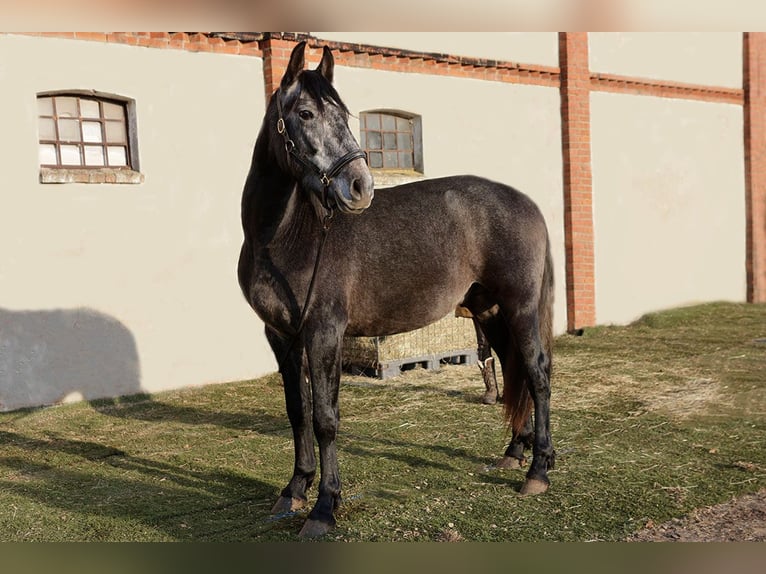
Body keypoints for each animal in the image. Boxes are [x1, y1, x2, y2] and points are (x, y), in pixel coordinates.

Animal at [238, 41, 555, 537]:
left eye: (345, 114)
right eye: (305, 113)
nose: (360, 186)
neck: (282, 237)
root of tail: (526, 203)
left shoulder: (324, 332)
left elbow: (325, 418)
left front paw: (324, 506)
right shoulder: (281, 335)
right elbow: (297, 411)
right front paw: (294, 490)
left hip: (520, 307)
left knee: (538, 375)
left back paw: (538, 471)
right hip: (489, 311)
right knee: (514, 368)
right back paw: (514, 454)